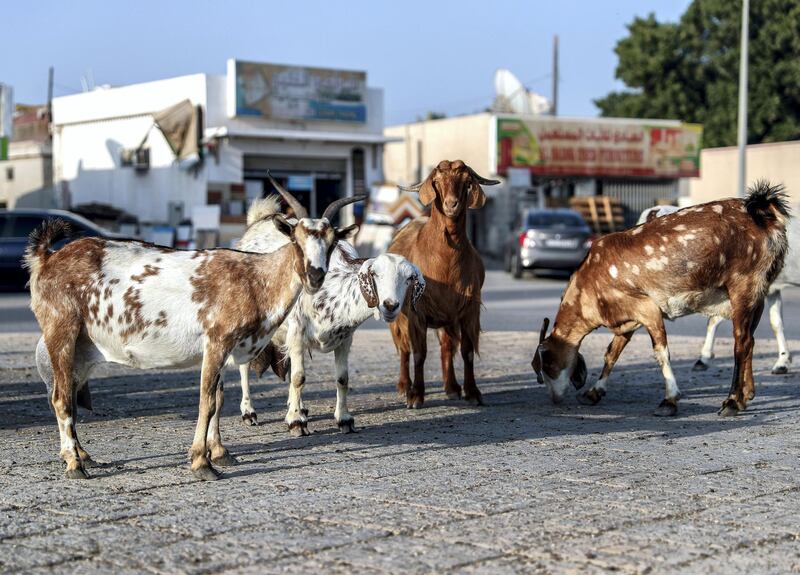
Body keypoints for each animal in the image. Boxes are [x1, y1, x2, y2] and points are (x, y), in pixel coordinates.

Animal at [230, 178, 424, 434]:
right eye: (375, 274)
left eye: (409, 278)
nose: (390, 305)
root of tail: (258, 221)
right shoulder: (296, 333)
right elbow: (299, 377)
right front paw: (296, 423)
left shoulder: (345, 339)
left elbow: (342, 378)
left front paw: (344, 419)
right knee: (245, 367)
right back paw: (249, 412)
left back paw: (299, 407)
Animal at [388, 160, 500, 408]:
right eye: (437, 182)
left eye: (466, 182)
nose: (451, 204)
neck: (445, 262)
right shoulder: (416, 312)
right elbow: (419, 353)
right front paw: (415, 395)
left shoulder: (468, 309)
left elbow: (467, 351)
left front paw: (472, 392)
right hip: (400, 315)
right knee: (404, 347)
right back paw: (403, 385)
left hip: (446, 318)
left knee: (447, 346)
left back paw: (451, 387)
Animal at [532, 183, 788, 418]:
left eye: (547, 364)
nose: (555, 398)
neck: (590, 282)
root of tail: (764, 212)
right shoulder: (628, 319)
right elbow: (612, 352)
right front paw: (593, 392)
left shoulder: (647, 308)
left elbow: (661, 352)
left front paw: (669, 400)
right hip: (759, 293)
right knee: (751, 339)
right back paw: (747, 395)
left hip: (743, 286)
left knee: (741, 342)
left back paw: (732, 401)